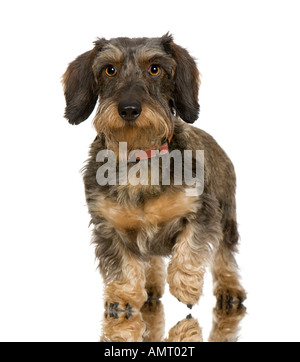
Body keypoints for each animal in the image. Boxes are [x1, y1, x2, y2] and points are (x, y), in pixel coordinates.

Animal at [62, 34, 246, 342]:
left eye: (155, 69)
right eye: (109, 70)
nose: (129, 109)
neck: (138, 158)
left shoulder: (202, 212)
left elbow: (190, 249)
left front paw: (185, 288)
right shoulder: (107, 225)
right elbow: (123, 265)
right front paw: (123, 297)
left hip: (227, 217)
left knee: (225, 256)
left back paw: (230, 290)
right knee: (151, 260)